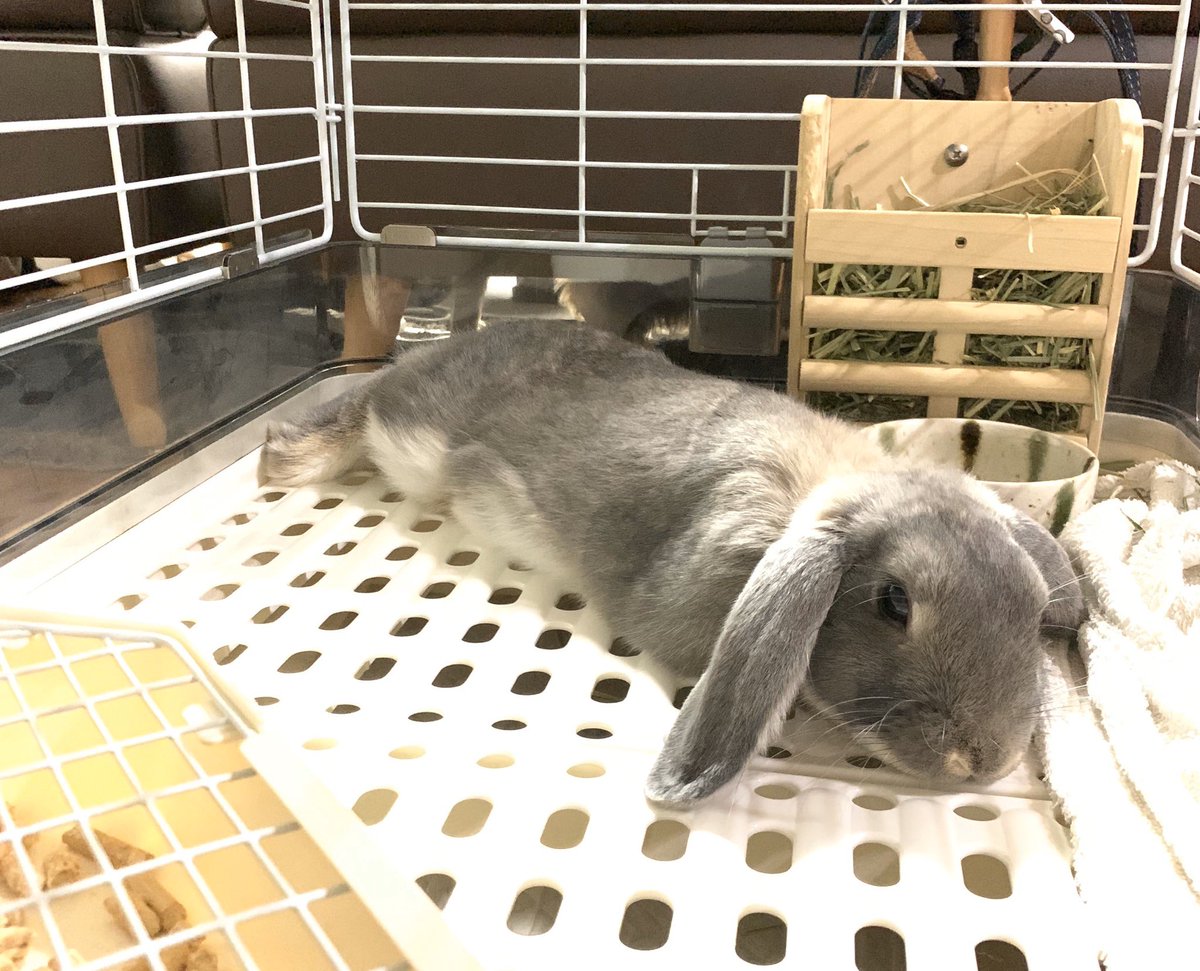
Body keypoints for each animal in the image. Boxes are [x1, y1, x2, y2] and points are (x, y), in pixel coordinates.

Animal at [261, 320, 1085, 806]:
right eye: (894, 602)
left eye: (1031, 602)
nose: (984, 760)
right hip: (412, 426)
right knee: (363, 404)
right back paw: (285, 459)